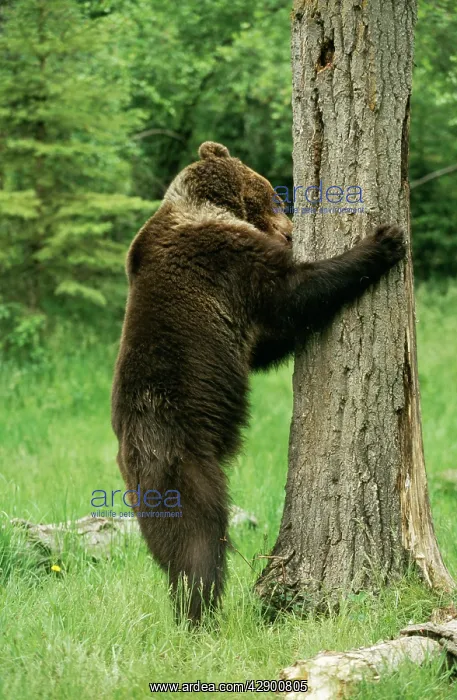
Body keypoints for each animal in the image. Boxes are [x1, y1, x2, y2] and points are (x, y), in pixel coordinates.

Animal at [111, 141, 405, 623]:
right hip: (181, 457)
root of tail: (127, 453)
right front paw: (382, 241)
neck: (205, 208)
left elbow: (268, 340)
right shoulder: (224, 259)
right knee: (197, 536)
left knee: (166, 548)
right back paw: (201, 611)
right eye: (276, 198)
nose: (291, 229)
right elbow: (292, 292)